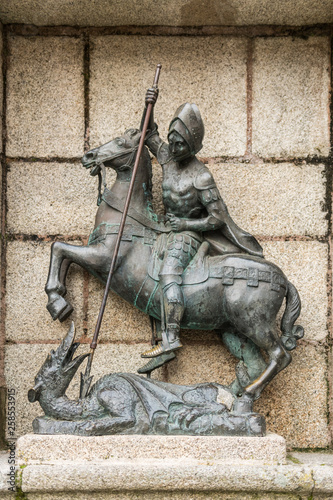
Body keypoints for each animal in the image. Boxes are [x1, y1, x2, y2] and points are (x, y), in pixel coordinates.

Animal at [44, 128, 304, 406]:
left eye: (121, 142)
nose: (89, 156)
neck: (128, 219)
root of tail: (284, 280)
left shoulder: (103, 259)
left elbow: (59, 248)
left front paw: (57, 303)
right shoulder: (97, 259)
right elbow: (62, 253)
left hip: (253, 322)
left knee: (280, 355)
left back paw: (244, 394)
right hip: (232, 330)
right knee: (255, 363)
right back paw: (226, 398)